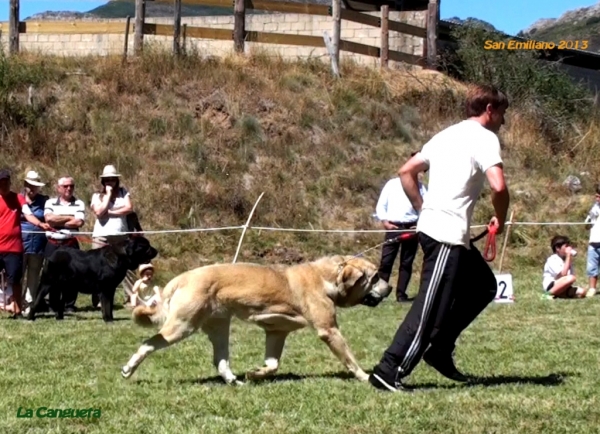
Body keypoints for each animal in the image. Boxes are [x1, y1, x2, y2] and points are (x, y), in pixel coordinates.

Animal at [27, 234, 159, 322]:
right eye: (146, 246)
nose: (156, 251)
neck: (119, 257)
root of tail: (51, 256)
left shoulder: (111, 288)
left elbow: (109, 305)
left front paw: (111, 318)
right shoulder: (105, 288)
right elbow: (106, 305)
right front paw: (108, 320)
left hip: (66, 287)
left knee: (60, 303)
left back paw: (60, 318)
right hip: (47, 283)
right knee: (35, 302)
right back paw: (30, 318)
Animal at [119, 254, 390, 384]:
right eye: (376, 277)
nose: (389, 289)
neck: (328, 278)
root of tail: (181, 278)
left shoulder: (276, 332)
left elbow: (273, 364)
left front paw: (256, 373)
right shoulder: (329, 331)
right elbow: (350, 359)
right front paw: (365, 377)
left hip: (219, 328)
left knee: (220, 361)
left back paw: (234, 381)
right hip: (181, 326)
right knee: (147, 343)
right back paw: (128, 368)